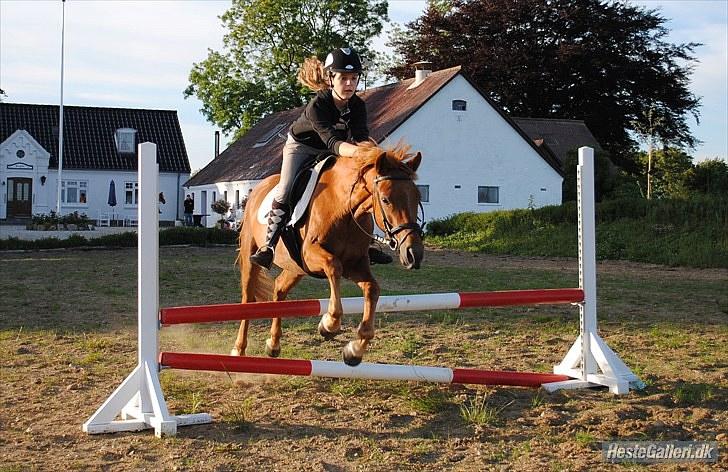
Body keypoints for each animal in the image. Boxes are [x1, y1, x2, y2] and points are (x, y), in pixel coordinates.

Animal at [232, 140, 426, 366]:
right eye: (386, 200)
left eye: (418, 197)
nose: (413, 254)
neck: (344, 209)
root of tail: (258, 188)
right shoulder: (311, 255)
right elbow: (334, 266)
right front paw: (329, 324)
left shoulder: (356, 264)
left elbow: (372, 288)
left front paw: (354, 350)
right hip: (252, 253)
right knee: (248, 298)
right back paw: (239, 349)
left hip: (295, 266)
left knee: (279, 288)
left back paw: (273, 344)